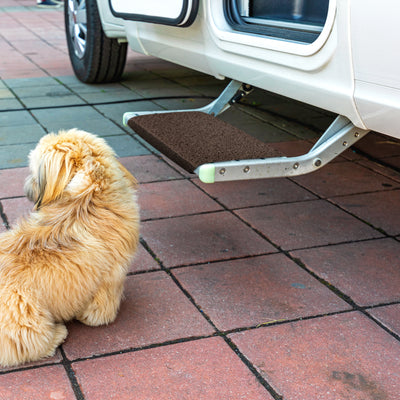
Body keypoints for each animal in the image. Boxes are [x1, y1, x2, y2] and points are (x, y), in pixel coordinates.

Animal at [0, 130, 140, 368]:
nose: (26, 187)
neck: (89, 198)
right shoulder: (111, 278)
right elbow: (100, 309)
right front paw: (96, 317)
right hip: (26, 318)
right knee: (30, 344)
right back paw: (58, 334)